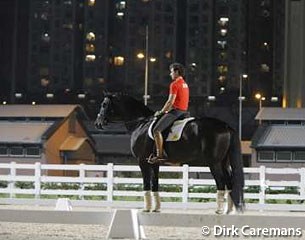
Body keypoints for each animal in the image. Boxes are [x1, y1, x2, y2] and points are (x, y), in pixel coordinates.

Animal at [94, 94, 243, 214]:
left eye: (104, 104)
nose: (97, 123)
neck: (141, 124)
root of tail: (226, 126)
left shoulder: (142, 161)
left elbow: (146, 183)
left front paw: (146, 208)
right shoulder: (154, 162)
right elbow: (155, 183)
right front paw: (156, 208)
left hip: (214, 163)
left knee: (221, 182)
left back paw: (219, 210)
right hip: (224, 162)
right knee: (230, 182)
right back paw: (229, 210)